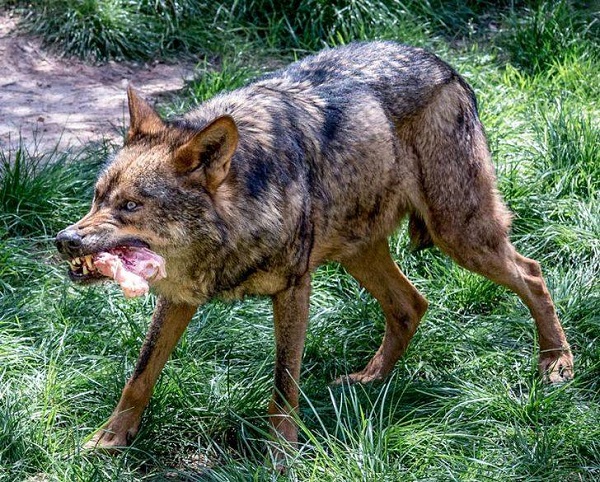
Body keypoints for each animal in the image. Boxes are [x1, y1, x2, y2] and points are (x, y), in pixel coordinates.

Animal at [55, 41, 572, 456]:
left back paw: (556, 362)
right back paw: (370, 381)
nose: (66, 240)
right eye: (97, 197)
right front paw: (111, 438)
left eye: (131, 205)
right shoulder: (179, 297)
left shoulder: (293, 289)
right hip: (358, 251)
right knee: (411, 304)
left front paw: (281, 454)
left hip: (460, 236)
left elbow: (284, 383)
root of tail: (445, 65)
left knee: (532, 273)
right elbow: (140, 374)